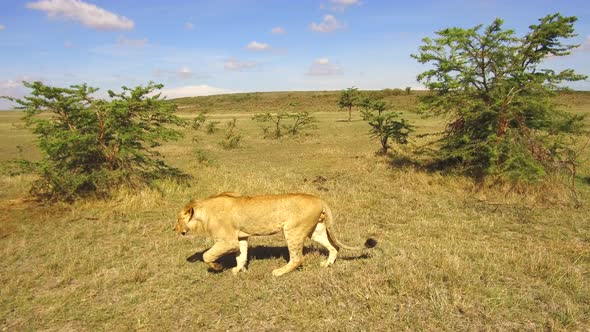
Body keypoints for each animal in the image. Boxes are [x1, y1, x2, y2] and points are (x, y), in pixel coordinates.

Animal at [175, 192, 380, 274]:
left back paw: (279, 272)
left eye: (177, 219)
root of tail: (319, 199)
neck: (203, 213)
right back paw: (327, 264)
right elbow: (241, 255)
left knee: (297, 258)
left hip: (292, 230)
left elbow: (207, 255)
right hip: (316, 231)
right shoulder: (241, 237)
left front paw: (216, 267)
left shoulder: (227, 241)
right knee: (334, 247)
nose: (174, 229)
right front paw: (238, 270)